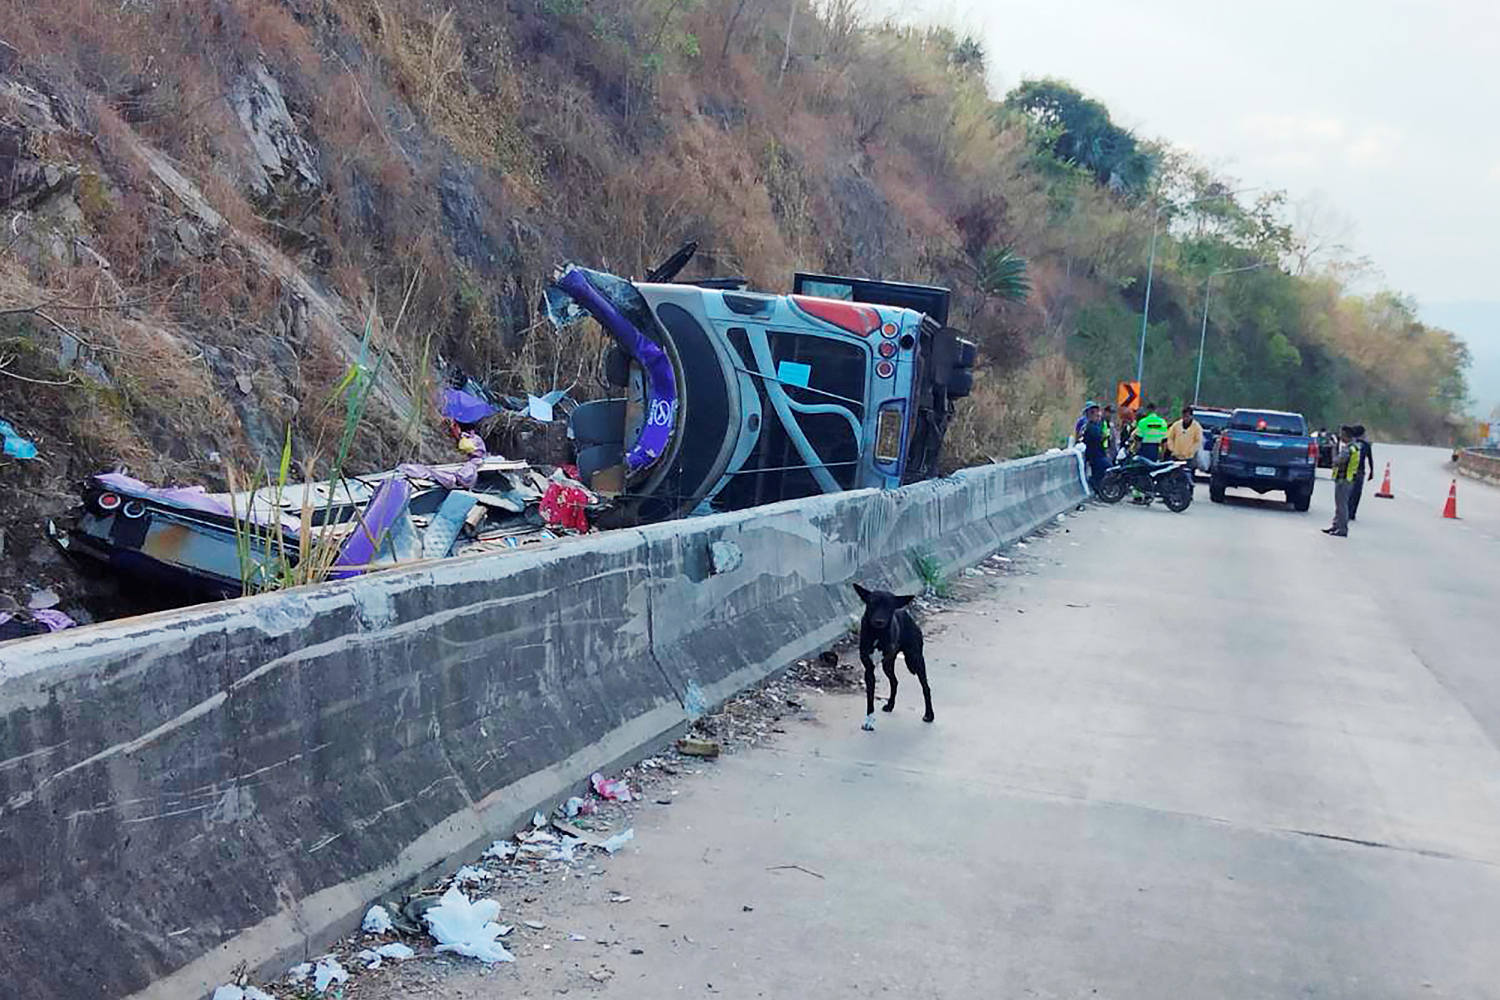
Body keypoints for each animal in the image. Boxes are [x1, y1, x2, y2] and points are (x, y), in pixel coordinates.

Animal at [852, 581, 930, 731]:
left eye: (889, 606)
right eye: (872, 603)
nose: (879, 621)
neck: (877, 634)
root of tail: (905, 612)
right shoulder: (869, 670)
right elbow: (870, 698)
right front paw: (869, 720)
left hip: (915, 659)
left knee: (926, 687)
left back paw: (929, 715)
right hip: (888, 665)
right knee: (894, 681)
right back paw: (890, 705)